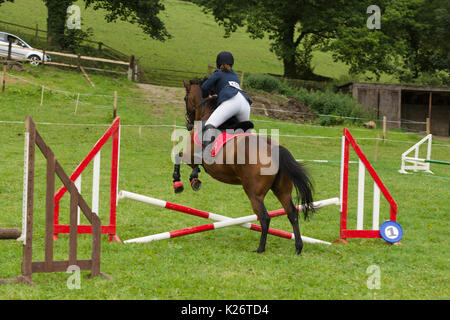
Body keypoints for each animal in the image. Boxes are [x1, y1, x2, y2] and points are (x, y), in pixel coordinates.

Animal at [171, 79, 314, 254]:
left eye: (185, 98)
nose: (188, 124)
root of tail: (274, 149)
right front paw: (194, 179)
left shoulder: (191, 157)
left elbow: (178, 157)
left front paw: (178, 183)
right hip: (282, 190)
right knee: (292, 213)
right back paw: (298, 247)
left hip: (254, 193)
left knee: (265, 217)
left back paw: (260, 248)